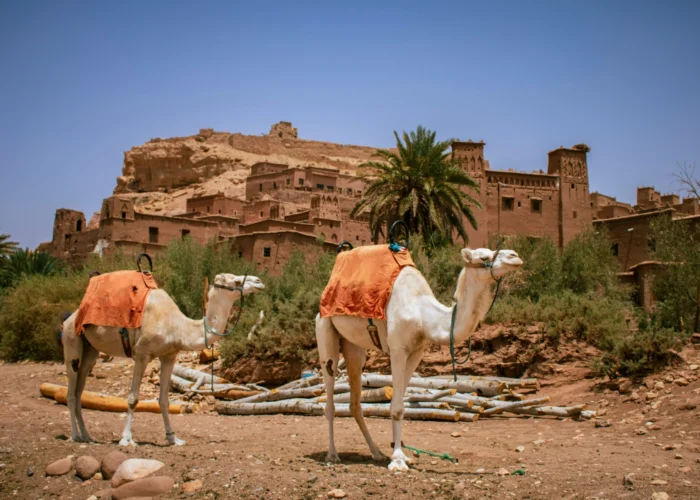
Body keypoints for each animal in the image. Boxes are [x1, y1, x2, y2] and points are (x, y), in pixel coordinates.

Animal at [61, 272, 265, 446]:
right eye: (236, 281)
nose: (259, 281)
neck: (177, 327)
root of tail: (71, 317)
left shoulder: (169, 356)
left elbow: (164, 400)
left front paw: (173, 438)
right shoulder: (141, 354)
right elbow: (133, 398)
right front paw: (126, 439)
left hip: (90, 350)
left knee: (79, 389)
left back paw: (87, 436)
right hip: (71, 340)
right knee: (71, 391)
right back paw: (75, 435)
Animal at [316, 246, 523, 471]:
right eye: (484, 256)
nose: (515, 256)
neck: (423, 315)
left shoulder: (417, 352)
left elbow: (400, 403)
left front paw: (402, 456)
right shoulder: (397, 349)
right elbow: (396, 407)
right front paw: (397, 461)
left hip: (354, 347)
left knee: (355, 402)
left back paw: (376, 453)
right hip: (325, 331)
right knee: (330, 394)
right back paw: (332, 454)